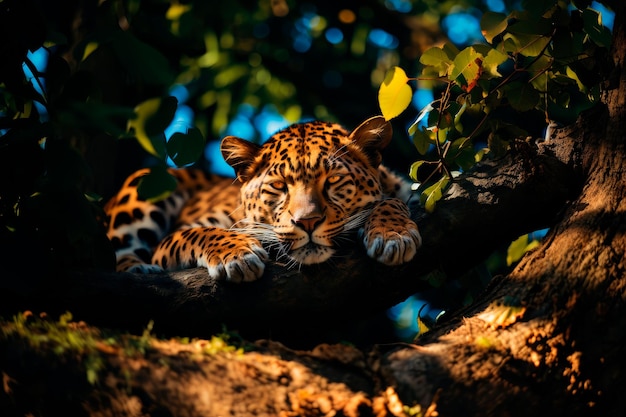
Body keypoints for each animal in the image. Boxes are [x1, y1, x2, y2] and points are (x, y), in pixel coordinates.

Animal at [105, 115, 422, 282]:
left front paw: (393, 234)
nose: (308, 222)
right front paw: (237, 254)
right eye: (279, 186)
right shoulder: (176, 236)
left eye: (332, 180)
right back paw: (139, 269)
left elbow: (390, 201)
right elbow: (202, 232)